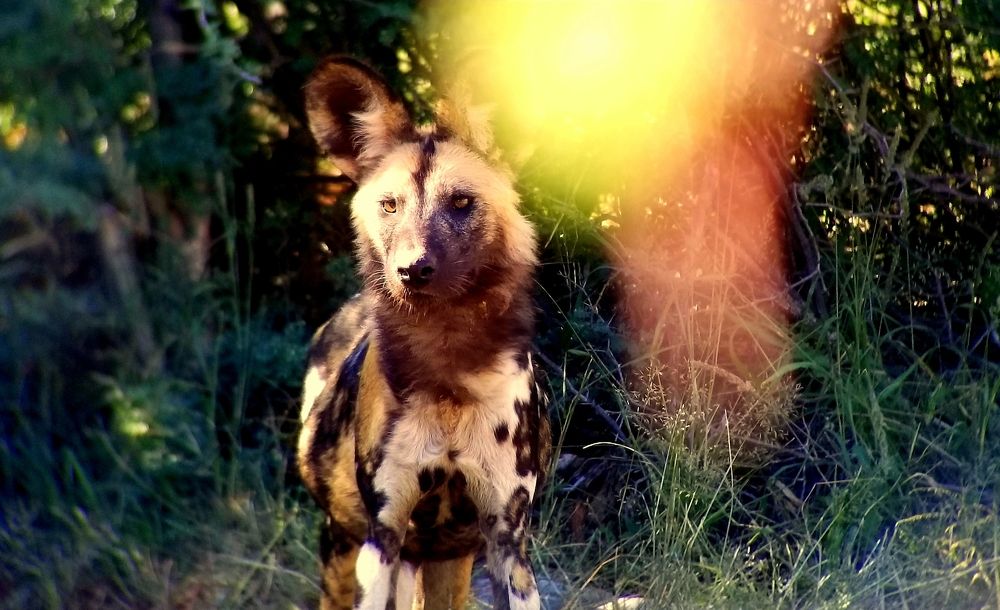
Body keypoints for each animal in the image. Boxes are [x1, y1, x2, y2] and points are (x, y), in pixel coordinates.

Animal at [296, 57, 551, 610]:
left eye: (460, 202)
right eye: (389, 206)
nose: (411, 270)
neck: (448, 371)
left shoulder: (507, 537)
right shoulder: (384, 534)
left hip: (448, 560)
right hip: (345, 549)